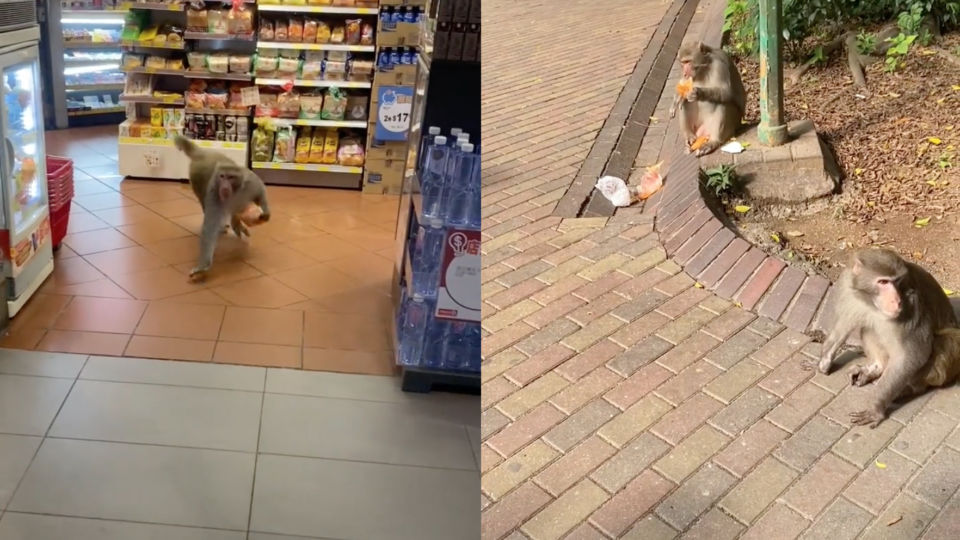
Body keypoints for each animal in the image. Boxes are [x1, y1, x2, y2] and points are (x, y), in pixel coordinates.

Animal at [172, 135, 268, 282]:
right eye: (222, 176)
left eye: (230, 177)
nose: (224, 186)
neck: (235, 192)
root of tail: (202, 153)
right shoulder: (214, 193)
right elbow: (209, 228)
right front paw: (203, 266)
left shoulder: (250, 184)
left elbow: (260, 190)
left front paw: (266, 213)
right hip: (197, 181)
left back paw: (236, 223)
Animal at [816, 247, 960, 428]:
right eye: (883, 282)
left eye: (898, 282)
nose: (897, 301)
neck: (870, 301)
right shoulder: (847, 287)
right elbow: (843, 325)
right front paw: (824, 361)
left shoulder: (913, 304)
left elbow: (913, 355)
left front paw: (875, 407)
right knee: (869, 328)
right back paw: (875, 369)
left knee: (946, 342)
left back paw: (910, 389)